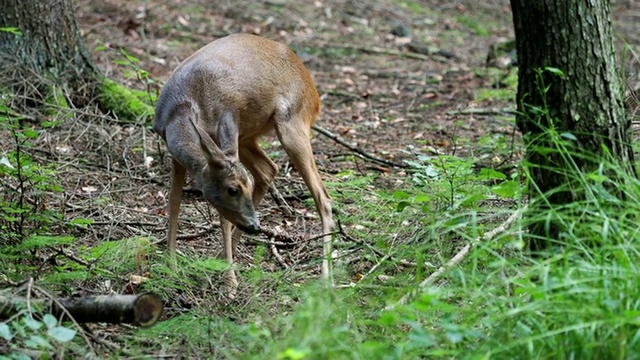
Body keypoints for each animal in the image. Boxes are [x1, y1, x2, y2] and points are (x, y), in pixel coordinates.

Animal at [154, 33, 336, 296]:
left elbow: (221, 219)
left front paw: (230, 284)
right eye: (233, 189)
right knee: (269, 169)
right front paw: (171, 266)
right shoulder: (175, 155)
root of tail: (314, 91)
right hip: (247, 135)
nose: (255, 226)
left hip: (292, 122)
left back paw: (325, 278)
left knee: (322, 196)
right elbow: (174, 203)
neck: (182, 108)